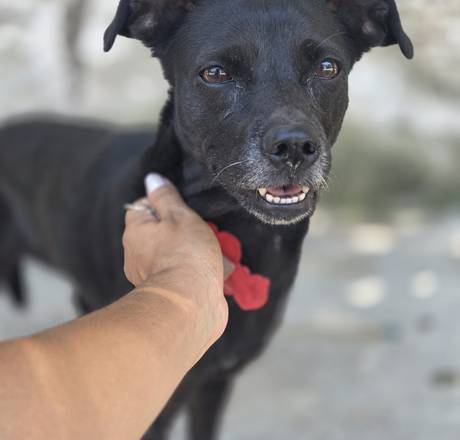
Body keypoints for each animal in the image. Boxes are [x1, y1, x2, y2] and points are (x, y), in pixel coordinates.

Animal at [0, 0, 413, 438]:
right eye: (215, 73)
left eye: (327, 67)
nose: (295, 148)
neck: (246, 232)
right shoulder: (156, 407)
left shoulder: (215, 381)